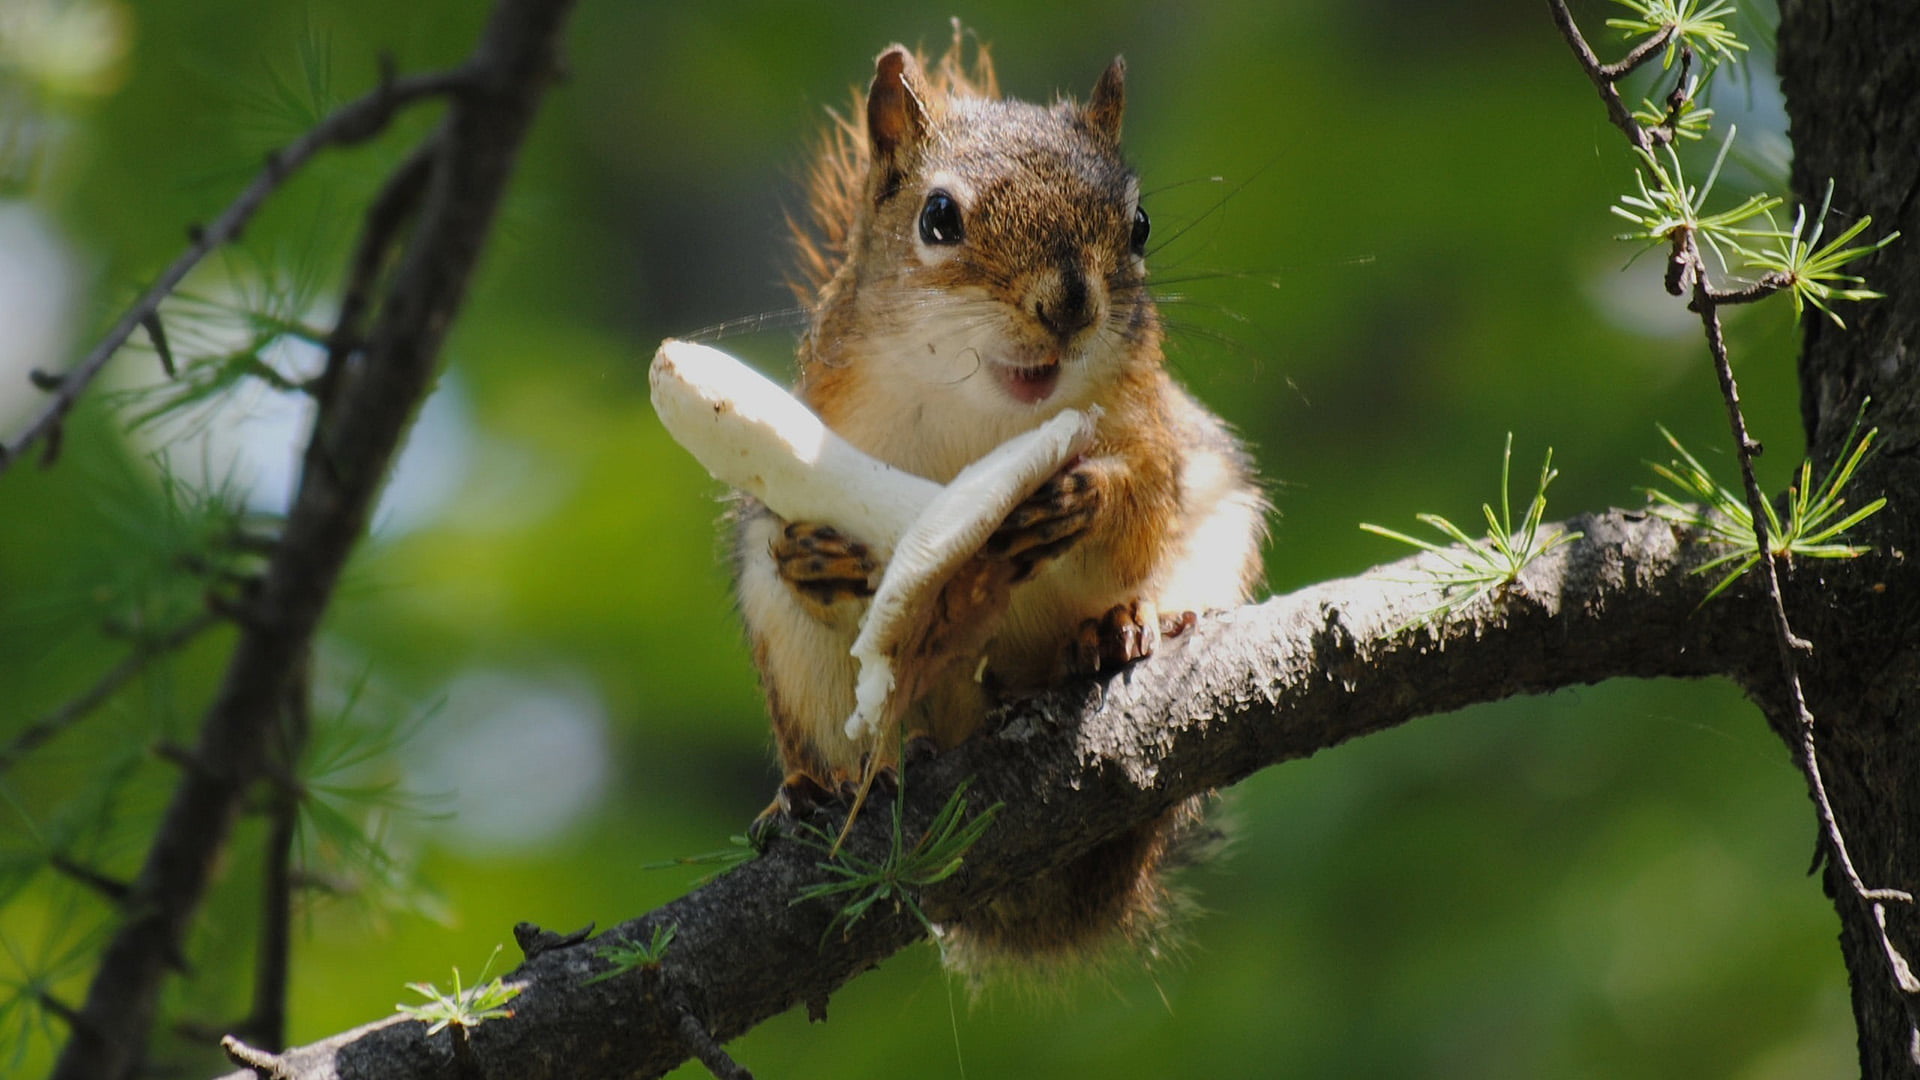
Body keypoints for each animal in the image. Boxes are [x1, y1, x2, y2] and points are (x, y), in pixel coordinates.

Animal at [731, 27, 1268, 975]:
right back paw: (820, 789)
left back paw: (1122, 629)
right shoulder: (826, 435)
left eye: (1139, 225)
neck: (987, 415)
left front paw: (1090, 496)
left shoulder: (1154, 429)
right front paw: (817, 557)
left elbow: (1142, 502)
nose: (1070, 303)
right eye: (938, 218)